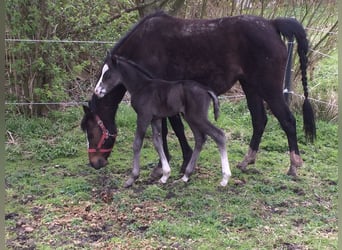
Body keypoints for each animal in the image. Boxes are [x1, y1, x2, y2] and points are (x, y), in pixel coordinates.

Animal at [92, 12, 314, 178]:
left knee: (287, 121)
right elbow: (172, 128)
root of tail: (271, 24)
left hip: (269, 88)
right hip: (250, 86)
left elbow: (171, 129)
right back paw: (246, 161)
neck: (144, 44)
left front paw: (172, 164)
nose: (95, 163)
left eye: (90, 130)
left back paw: (294, 166)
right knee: (259, 120)